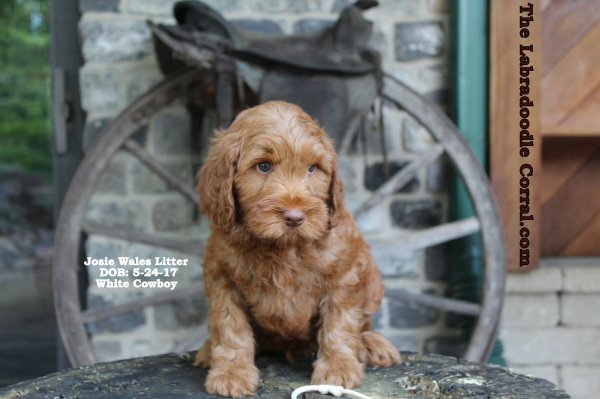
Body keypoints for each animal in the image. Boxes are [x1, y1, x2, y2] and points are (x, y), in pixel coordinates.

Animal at [195, 101, 400, 398]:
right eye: (263, 166)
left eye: (312, 168)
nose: (294, 217)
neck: (283, 246)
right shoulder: (222, 275)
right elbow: (230, 326)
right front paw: (232, 372)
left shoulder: (345, 273)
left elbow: (340, 324)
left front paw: (337, 368)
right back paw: (207, 350)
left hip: (372, 277)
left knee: (363, 325)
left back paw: (373, 345)